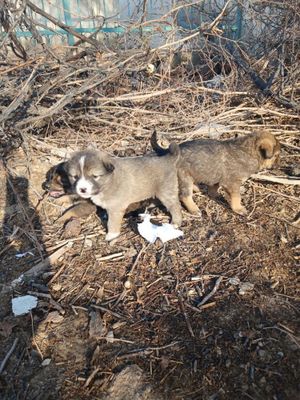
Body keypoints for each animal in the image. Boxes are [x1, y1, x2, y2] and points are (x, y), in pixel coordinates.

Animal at [151, 130, 280, 214]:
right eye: (276, 156)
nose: (278, 166)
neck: (248, 152)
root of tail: (169, 153)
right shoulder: (232, 183)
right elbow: (236, 197)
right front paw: (238, 209)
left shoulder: (218, 178)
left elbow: (214, 188)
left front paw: (215, 195)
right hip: (184, 177)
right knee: (185, 196)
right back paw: (194, 209)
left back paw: (197, 188)